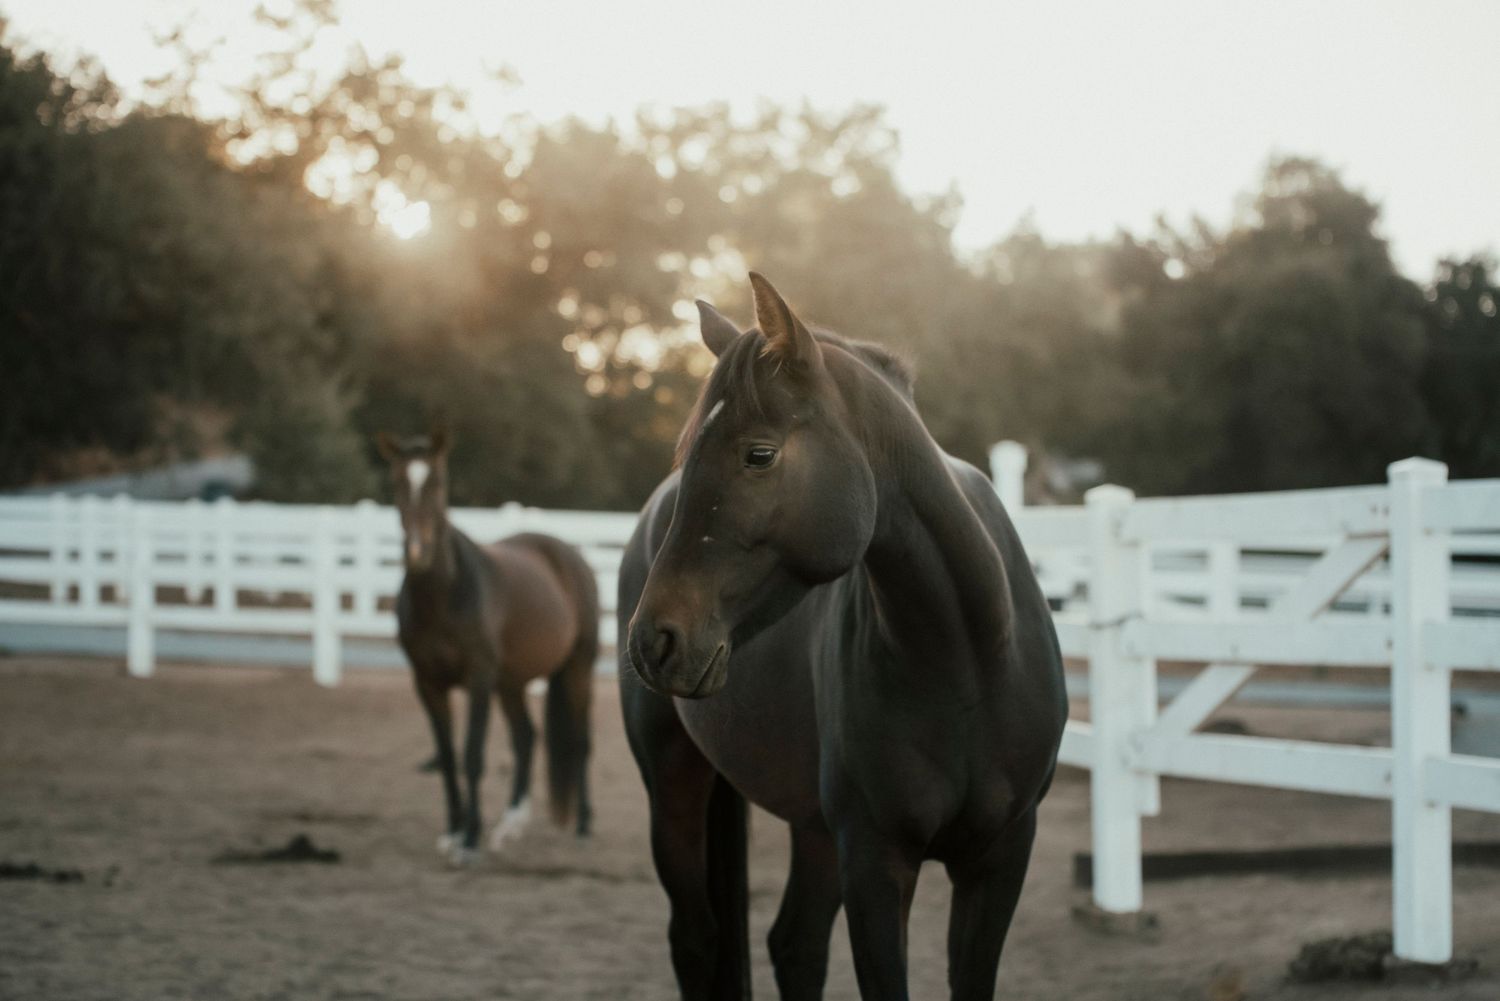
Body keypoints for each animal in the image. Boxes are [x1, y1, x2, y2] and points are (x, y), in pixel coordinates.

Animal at [376, 429, 598, 865]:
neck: (445, 596)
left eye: (437, 483)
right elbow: (447, 757)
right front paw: (454, 831)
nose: (417, 554)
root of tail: (568, 553)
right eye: (396, 483)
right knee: (527, 737)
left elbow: (472, 755)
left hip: (577, 668)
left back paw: (582, 824)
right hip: (510, 682)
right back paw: (510, 826)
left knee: (580, 741)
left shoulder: (478, 680)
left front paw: (469, 840)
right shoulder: (427, 684)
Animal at [619, 274, 1067, 1000]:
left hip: (815, 830)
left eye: (760, 454)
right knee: (695, 938)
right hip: (674, 782)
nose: (652, 640)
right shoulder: (875, 862)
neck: (964, 660)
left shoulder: (999, 859)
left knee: (794, 945)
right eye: (687, 455)